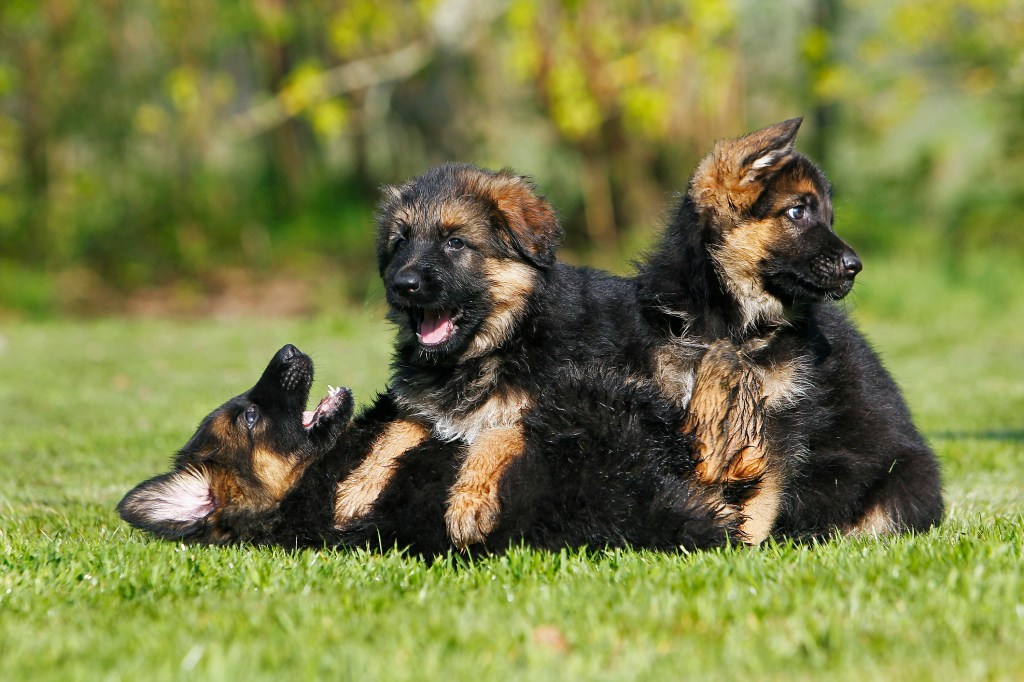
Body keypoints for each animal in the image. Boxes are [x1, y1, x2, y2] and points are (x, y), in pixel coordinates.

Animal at [638, 119, 942, 540]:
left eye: (829, 219)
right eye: (797, 212)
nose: (856, 266)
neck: (737, 325)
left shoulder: (780, 419)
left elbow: (761, 498)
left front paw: (741, 543)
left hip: (906, 478)